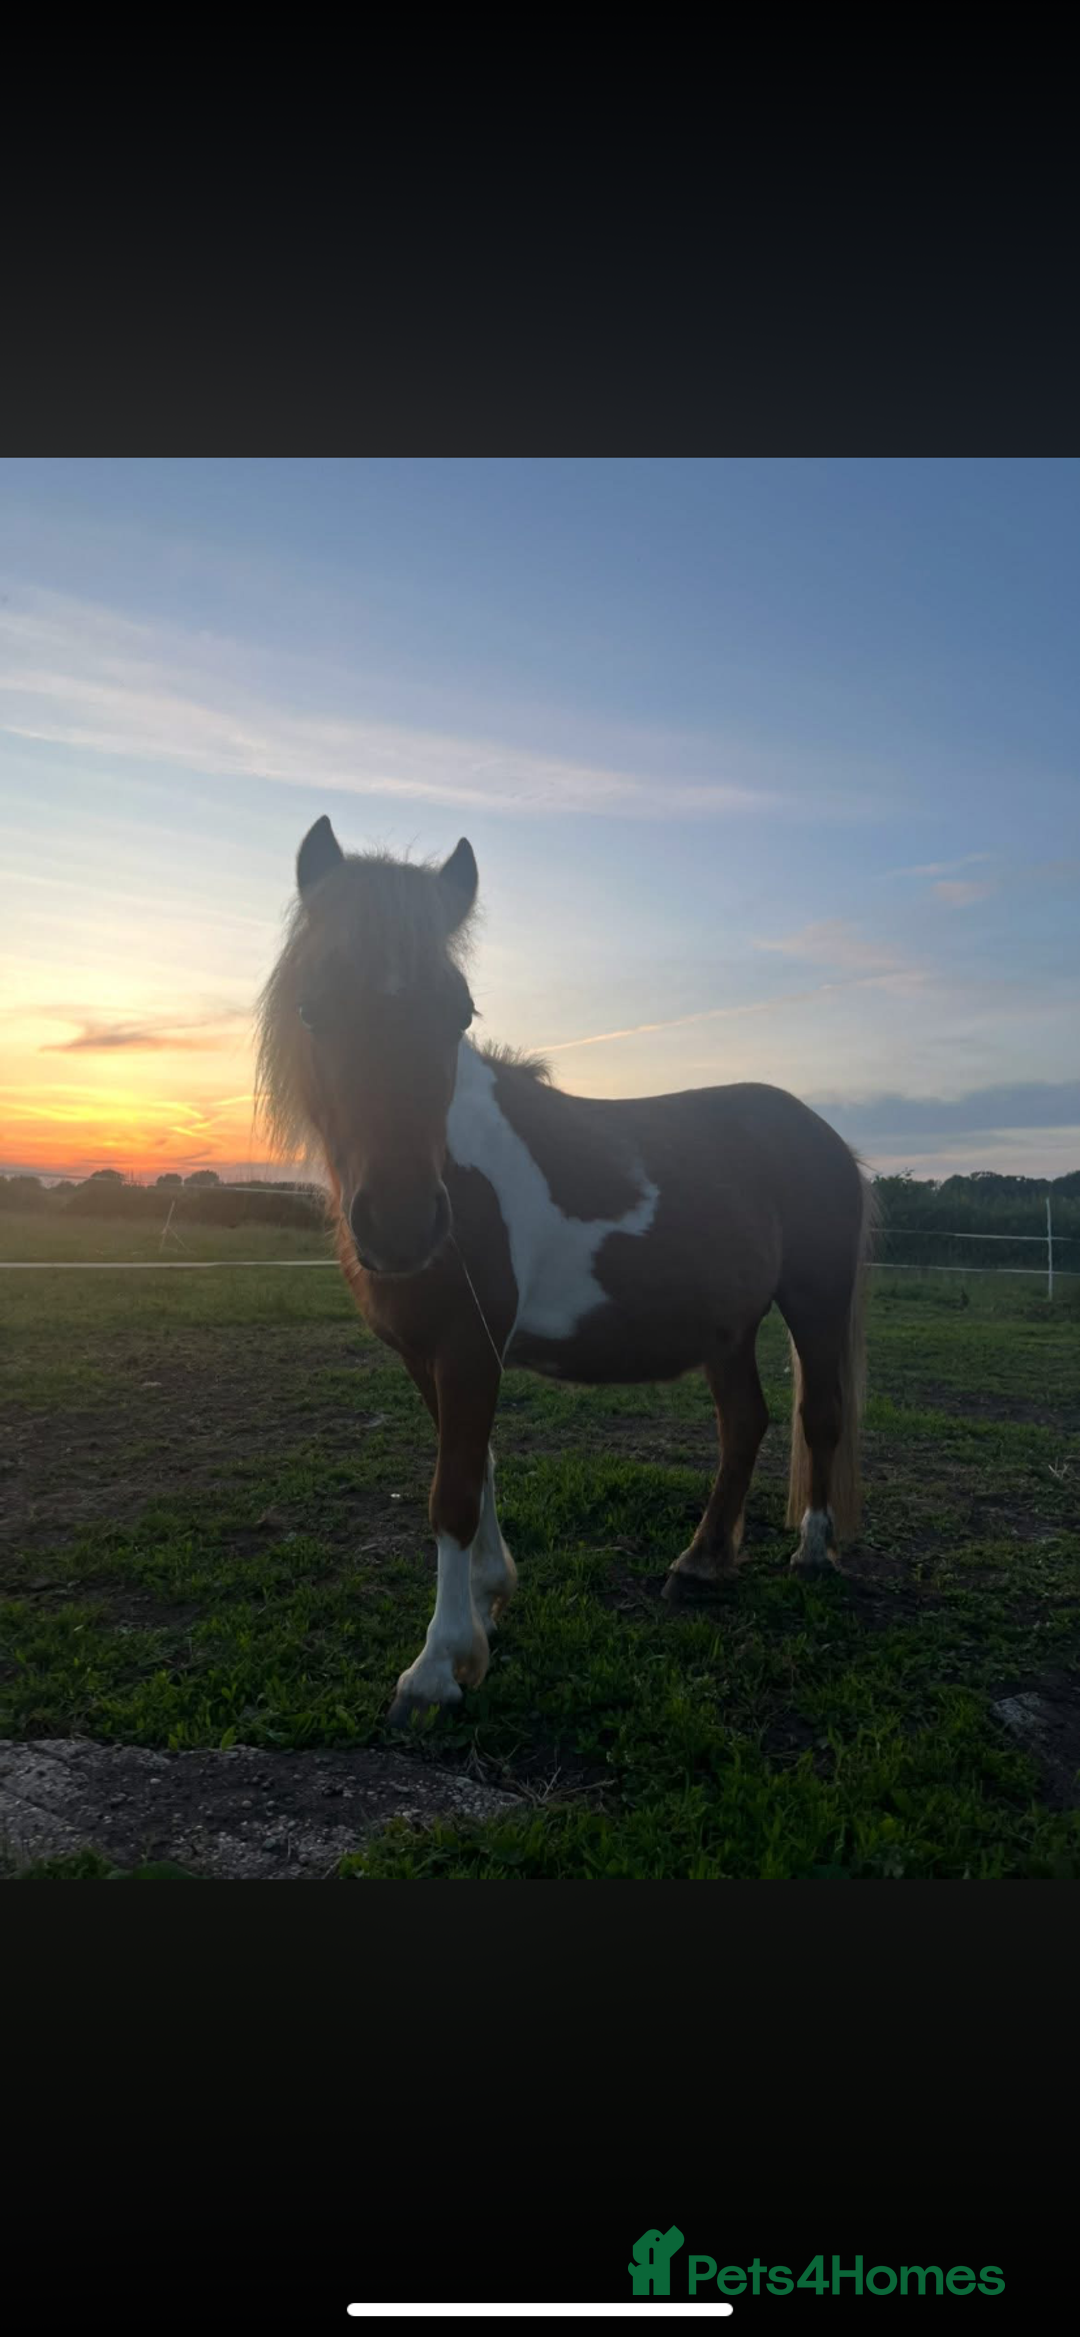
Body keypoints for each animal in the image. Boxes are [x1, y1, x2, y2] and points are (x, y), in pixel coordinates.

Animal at [257, 815, 876, 1726]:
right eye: (313, 1006)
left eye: (458, 1010)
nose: (403, 1223)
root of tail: (820, 1132)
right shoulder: (425, 1354)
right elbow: (476, 1470)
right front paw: (488, 1603)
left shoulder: (470, 1345)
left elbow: (452, 1491)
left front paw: (437, 1667)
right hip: (727, 1326)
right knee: (745, 1423)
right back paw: (700, 1564)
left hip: (815, 1302)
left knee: (819, 1415)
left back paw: (813, 1552)